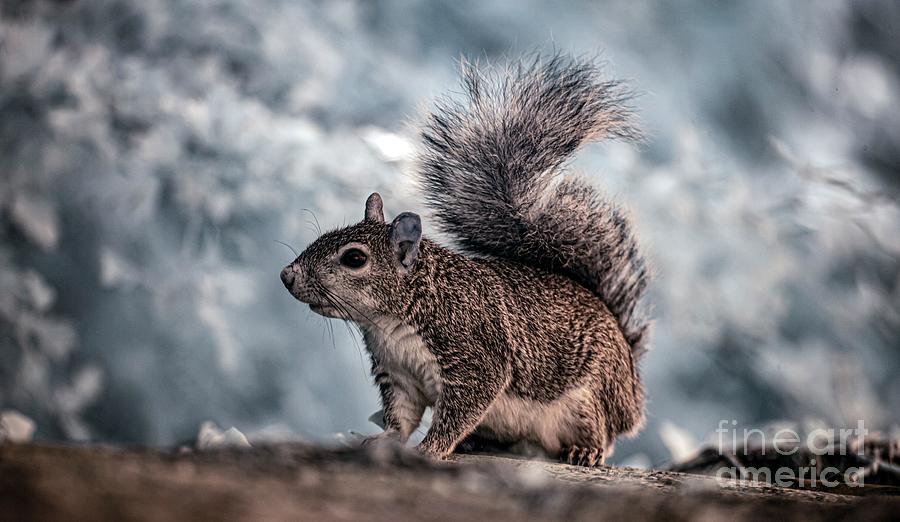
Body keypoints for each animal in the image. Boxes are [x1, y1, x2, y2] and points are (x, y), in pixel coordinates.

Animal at [280, 54, 648, 466]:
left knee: (600, 430)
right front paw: (382, 440)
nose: (287, 275)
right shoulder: (398, 375)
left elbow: (459, 411)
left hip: (589, 397)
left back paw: (585, 451)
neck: (392, 322)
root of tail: (631, 384)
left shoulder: (475, 357)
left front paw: (431, 449)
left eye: (355, 258)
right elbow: (401, 418)